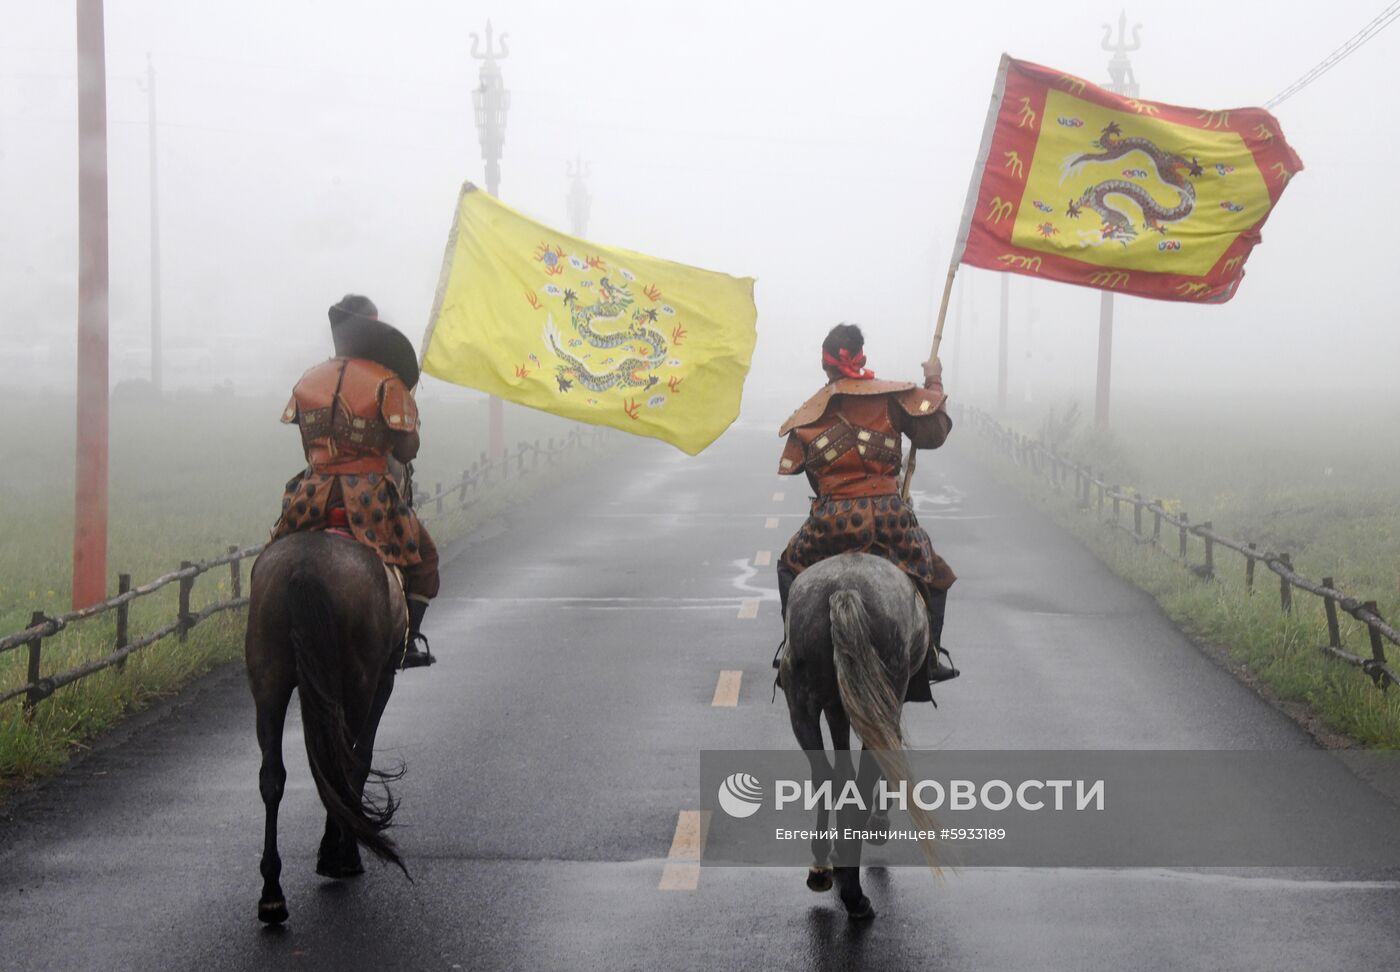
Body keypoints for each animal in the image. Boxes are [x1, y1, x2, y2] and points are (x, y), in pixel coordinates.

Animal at [245, 529, 408, 924]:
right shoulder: (382, 680)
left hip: (268, 681)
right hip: (358, 682)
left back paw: (272, 895)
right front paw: (340, 854)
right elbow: (359, 761)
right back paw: (339, 855)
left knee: (272, 777)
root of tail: (305, 567)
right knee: (342, 766)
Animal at [784, 551, 935, 924]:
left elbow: (842, 772)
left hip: (800, 703)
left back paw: (821, 865)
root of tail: (844, 589)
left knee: (823, 774)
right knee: (865, 779)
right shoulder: (888, 703)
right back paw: (855, 897)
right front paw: (878, 822)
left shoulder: (838, 707)